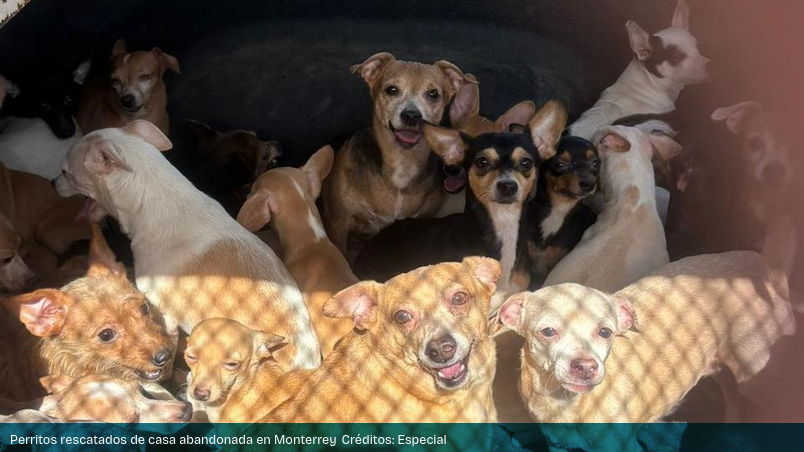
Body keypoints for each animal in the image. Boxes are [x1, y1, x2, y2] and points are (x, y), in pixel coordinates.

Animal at [497, 218, 796, 451]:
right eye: (548, 331)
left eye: (606, 332)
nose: (586, 366)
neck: (565, 405)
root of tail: (763, 265)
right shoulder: (558, 445)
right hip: (721, 365)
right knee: (733, 397)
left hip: (756, 374)